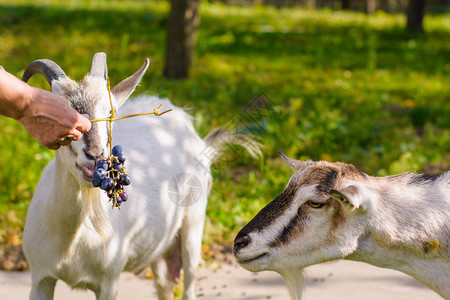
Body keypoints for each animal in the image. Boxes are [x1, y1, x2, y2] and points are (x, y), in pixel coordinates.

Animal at [22, 53, 256, 300]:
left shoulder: (108, 281)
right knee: (164, 286)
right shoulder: (40, 278)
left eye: (109, 113)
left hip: (194, 224)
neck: (73, 239)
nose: (95, 155)